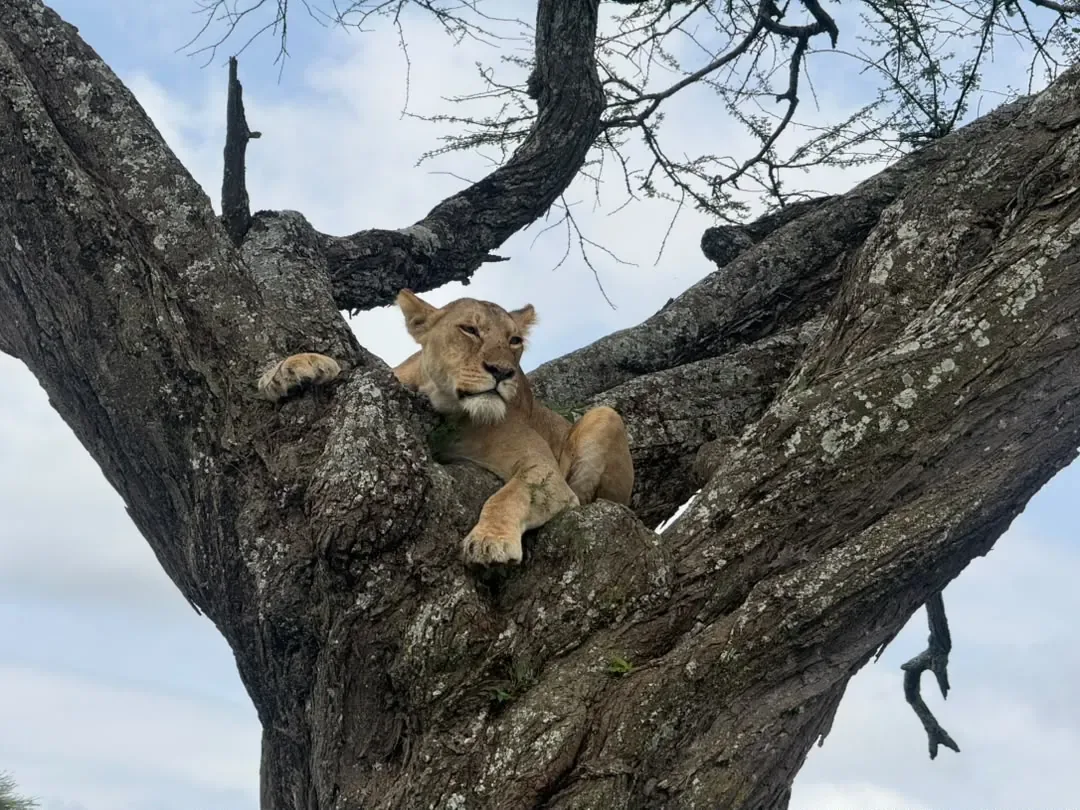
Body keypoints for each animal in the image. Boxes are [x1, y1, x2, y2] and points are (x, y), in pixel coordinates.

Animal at [257, 290, 634, 565]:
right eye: (470, 329)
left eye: (514, 340)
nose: (502, 372)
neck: (446, 409)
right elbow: (350, 368)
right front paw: (288, 370)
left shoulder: (542, 468)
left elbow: (510, 494)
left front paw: (489, 540)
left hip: (605, 416)